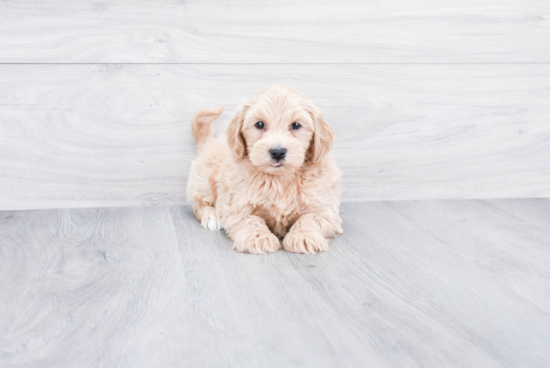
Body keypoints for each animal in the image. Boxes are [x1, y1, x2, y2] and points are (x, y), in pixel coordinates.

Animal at [188, 85, 342, 254]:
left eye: (296, 125)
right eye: (260, 124)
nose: (278, 152)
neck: (280, 178)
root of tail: (210, 142)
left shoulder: (325, 208)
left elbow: (311, 218)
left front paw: (303, 236)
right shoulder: (236, 205)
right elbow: (250, 220)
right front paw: (258, 238)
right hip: (204, 182)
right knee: (199, 203)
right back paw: (212, 217)